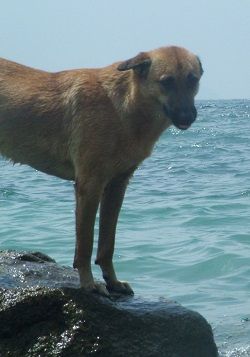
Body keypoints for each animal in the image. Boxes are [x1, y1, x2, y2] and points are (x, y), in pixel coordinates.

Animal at [0, 45, 203, 294]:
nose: (187, 116)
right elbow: (85, 244)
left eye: (193, 79)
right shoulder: (90, 186)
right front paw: (88, 283)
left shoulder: (117, 186)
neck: (124, 106)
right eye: (166, 81)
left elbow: (107, 243)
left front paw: (113, 281)